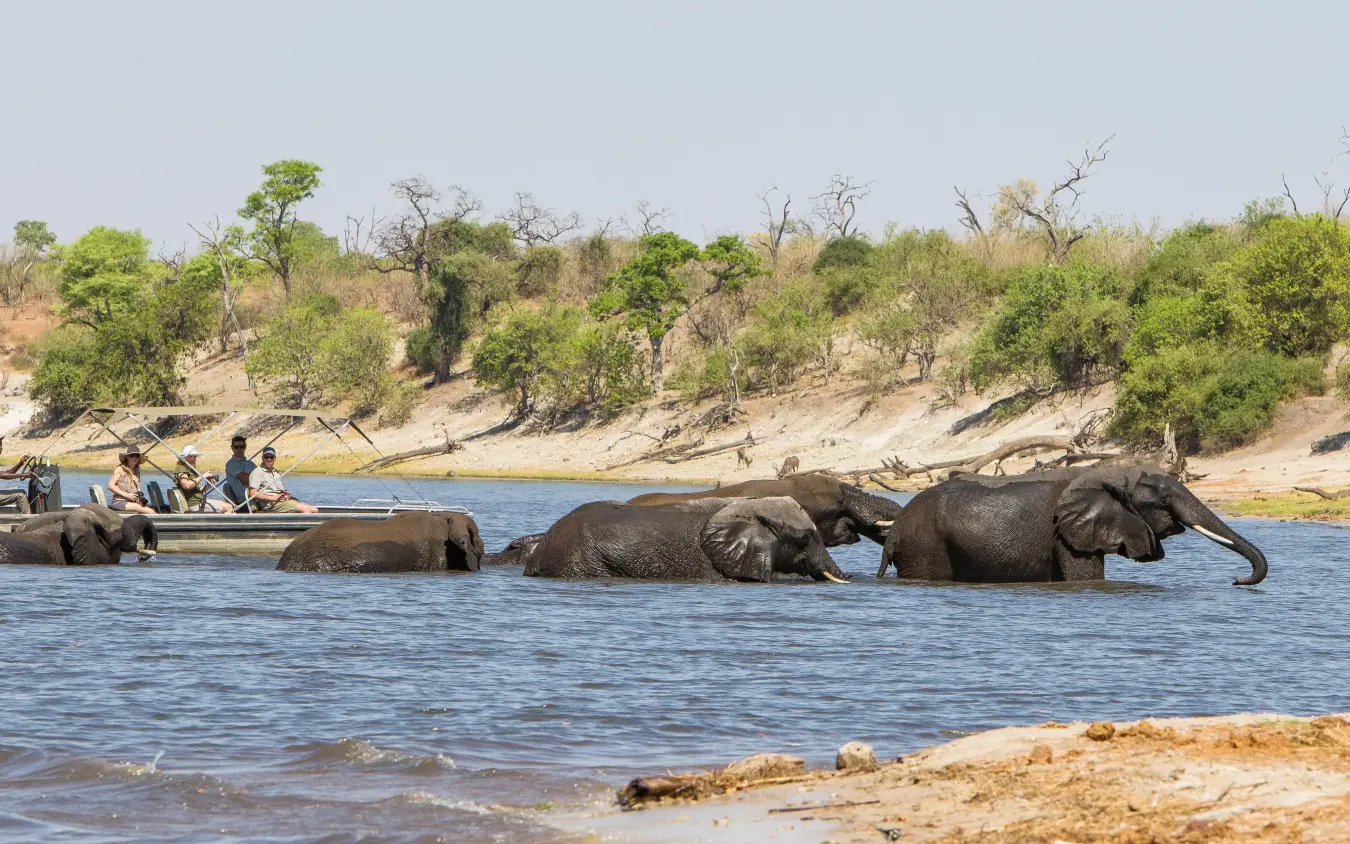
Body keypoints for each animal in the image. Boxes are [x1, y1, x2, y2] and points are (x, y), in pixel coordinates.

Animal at [877, 464, 1267, 586]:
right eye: (1162, 501)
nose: (1236, 579)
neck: (1107, 472)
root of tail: (893, 534)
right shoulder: (1068, 535)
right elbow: (1085, 578)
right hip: (925, 546)